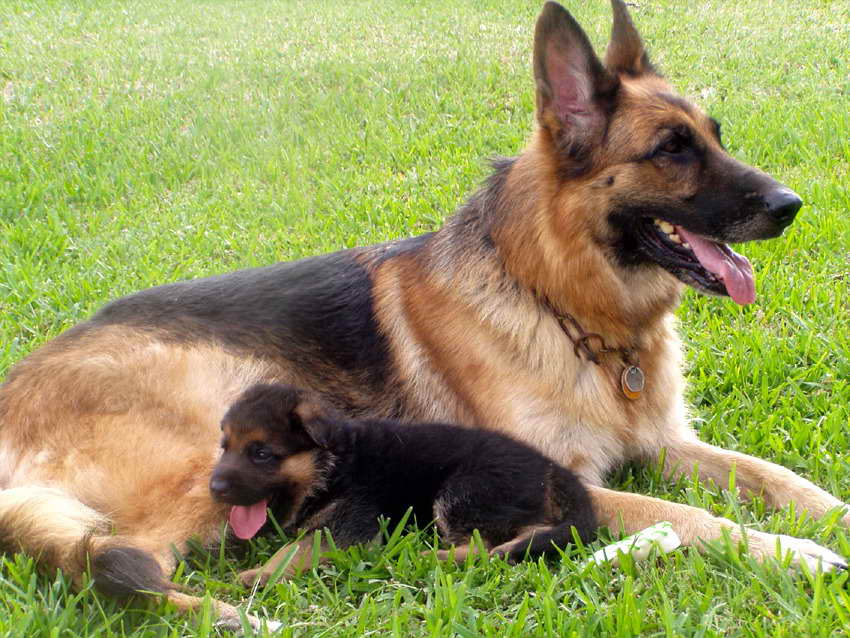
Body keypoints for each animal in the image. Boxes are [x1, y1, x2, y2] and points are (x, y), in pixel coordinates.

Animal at [210, 382, 596, 588]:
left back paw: (434, 556)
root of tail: (550, 467)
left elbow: (296, 549)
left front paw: (260, 573)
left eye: (261, 454)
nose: (213, 488)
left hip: (465, 490)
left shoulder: (349, 528)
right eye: (224, 446)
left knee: (486, 545)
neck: (331, 464)